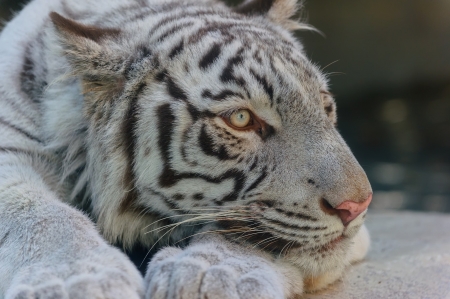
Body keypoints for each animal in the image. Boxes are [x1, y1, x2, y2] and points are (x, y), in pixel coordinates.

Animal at [0, 0, 372, 298]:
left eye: (324, 105)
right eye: (240, 119)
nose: (357, 206)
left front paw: (211, 275)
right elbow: (42, 214)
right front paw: (77, 283)